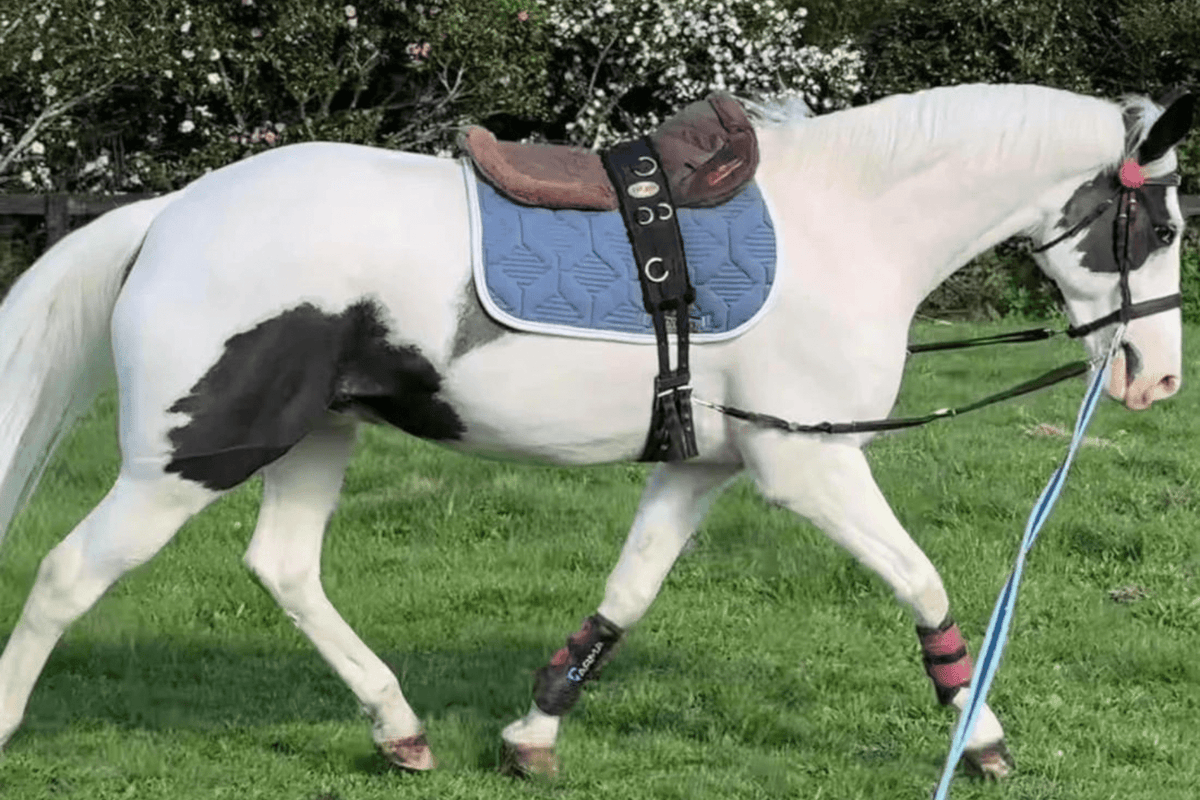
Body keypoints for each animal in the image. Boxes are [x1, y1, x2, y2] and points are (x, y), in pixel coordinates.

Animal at [0, 83, 1194, 781]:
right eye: (1161, 222)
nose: (1157, 377)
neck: (850, 226)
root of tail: (171, 214)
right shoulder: (808, 462)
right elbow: (925, 581)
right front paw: (979, 734)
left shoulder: (707, 465)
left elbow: (627, 593)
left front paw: (535, 732)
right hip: (189, 458)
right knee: (65, 574)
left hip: (315, 438)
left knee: (283, 568)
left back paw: (400, 726)